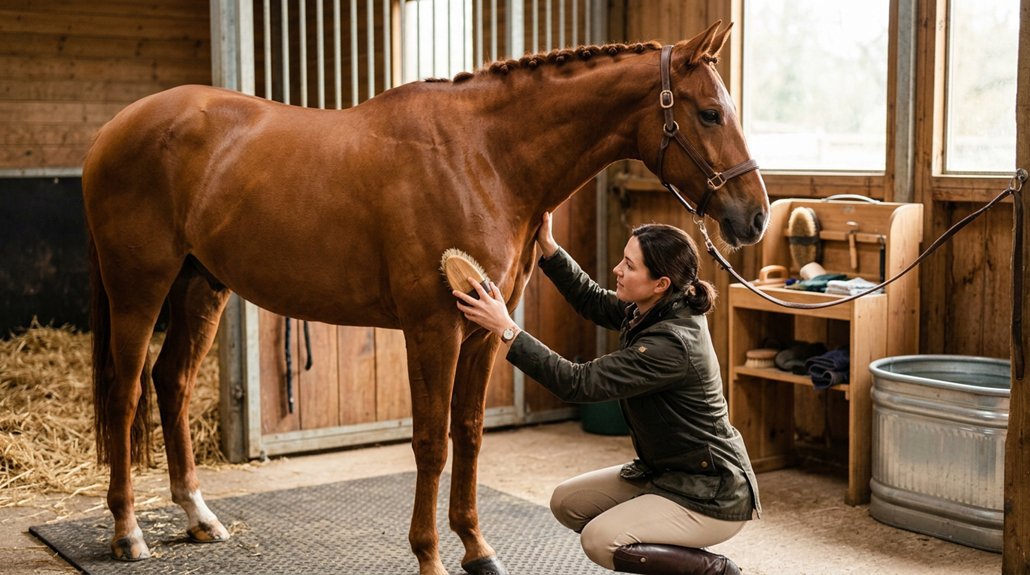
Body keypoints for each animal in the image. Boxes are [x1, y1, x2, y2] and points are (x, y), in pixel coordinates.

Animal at [83, 20, 767, 575]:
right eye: (710, 113)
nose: (754, 217)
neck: (483, 158)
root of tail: (113, 129)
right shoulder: (433, 327)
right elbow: (432, 443)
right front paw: (431, 555)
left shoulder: (487, 327)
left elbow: (469, 433)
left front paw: (477, 549)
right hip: (139, 287)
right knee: (125, 394)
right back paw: (127, 532)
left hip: (202, 285)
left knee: (170, 382)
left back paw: (198, 517)